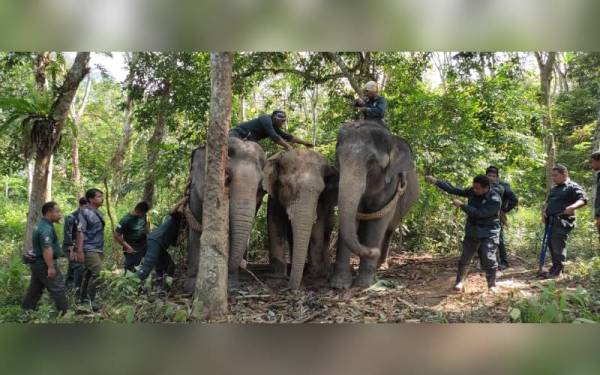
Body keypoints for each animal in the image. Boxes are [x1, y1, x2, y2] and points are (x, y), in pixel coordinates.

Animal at [184, 136, 266, 294]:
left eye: (259, 188)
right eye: (227, 179)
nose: (243, 264)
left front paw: (232, 285)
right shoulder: (195, 191)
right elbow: (195, 229)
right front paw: (190, 286)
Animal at [262, 150, 338, 290]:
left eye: (320, 191)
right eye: (287, 186)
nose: (291, 288)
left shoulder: (320, 203)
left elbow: (317, 228)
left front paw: (315, 280)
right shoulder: (274, 198)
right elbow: (275, 225)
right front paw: (276, 281)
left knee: (326, 235)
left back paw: (325, 272)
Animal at [330, 122, 420, 290]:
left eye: (371, 161)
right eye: (338, 157)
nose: (373, 251)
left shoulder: (391, 187)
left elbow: (378, 223)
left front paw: (364, 283)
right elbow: (354, 217)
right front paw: (339, 284)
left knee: (388, 231)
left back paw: (381, 265)